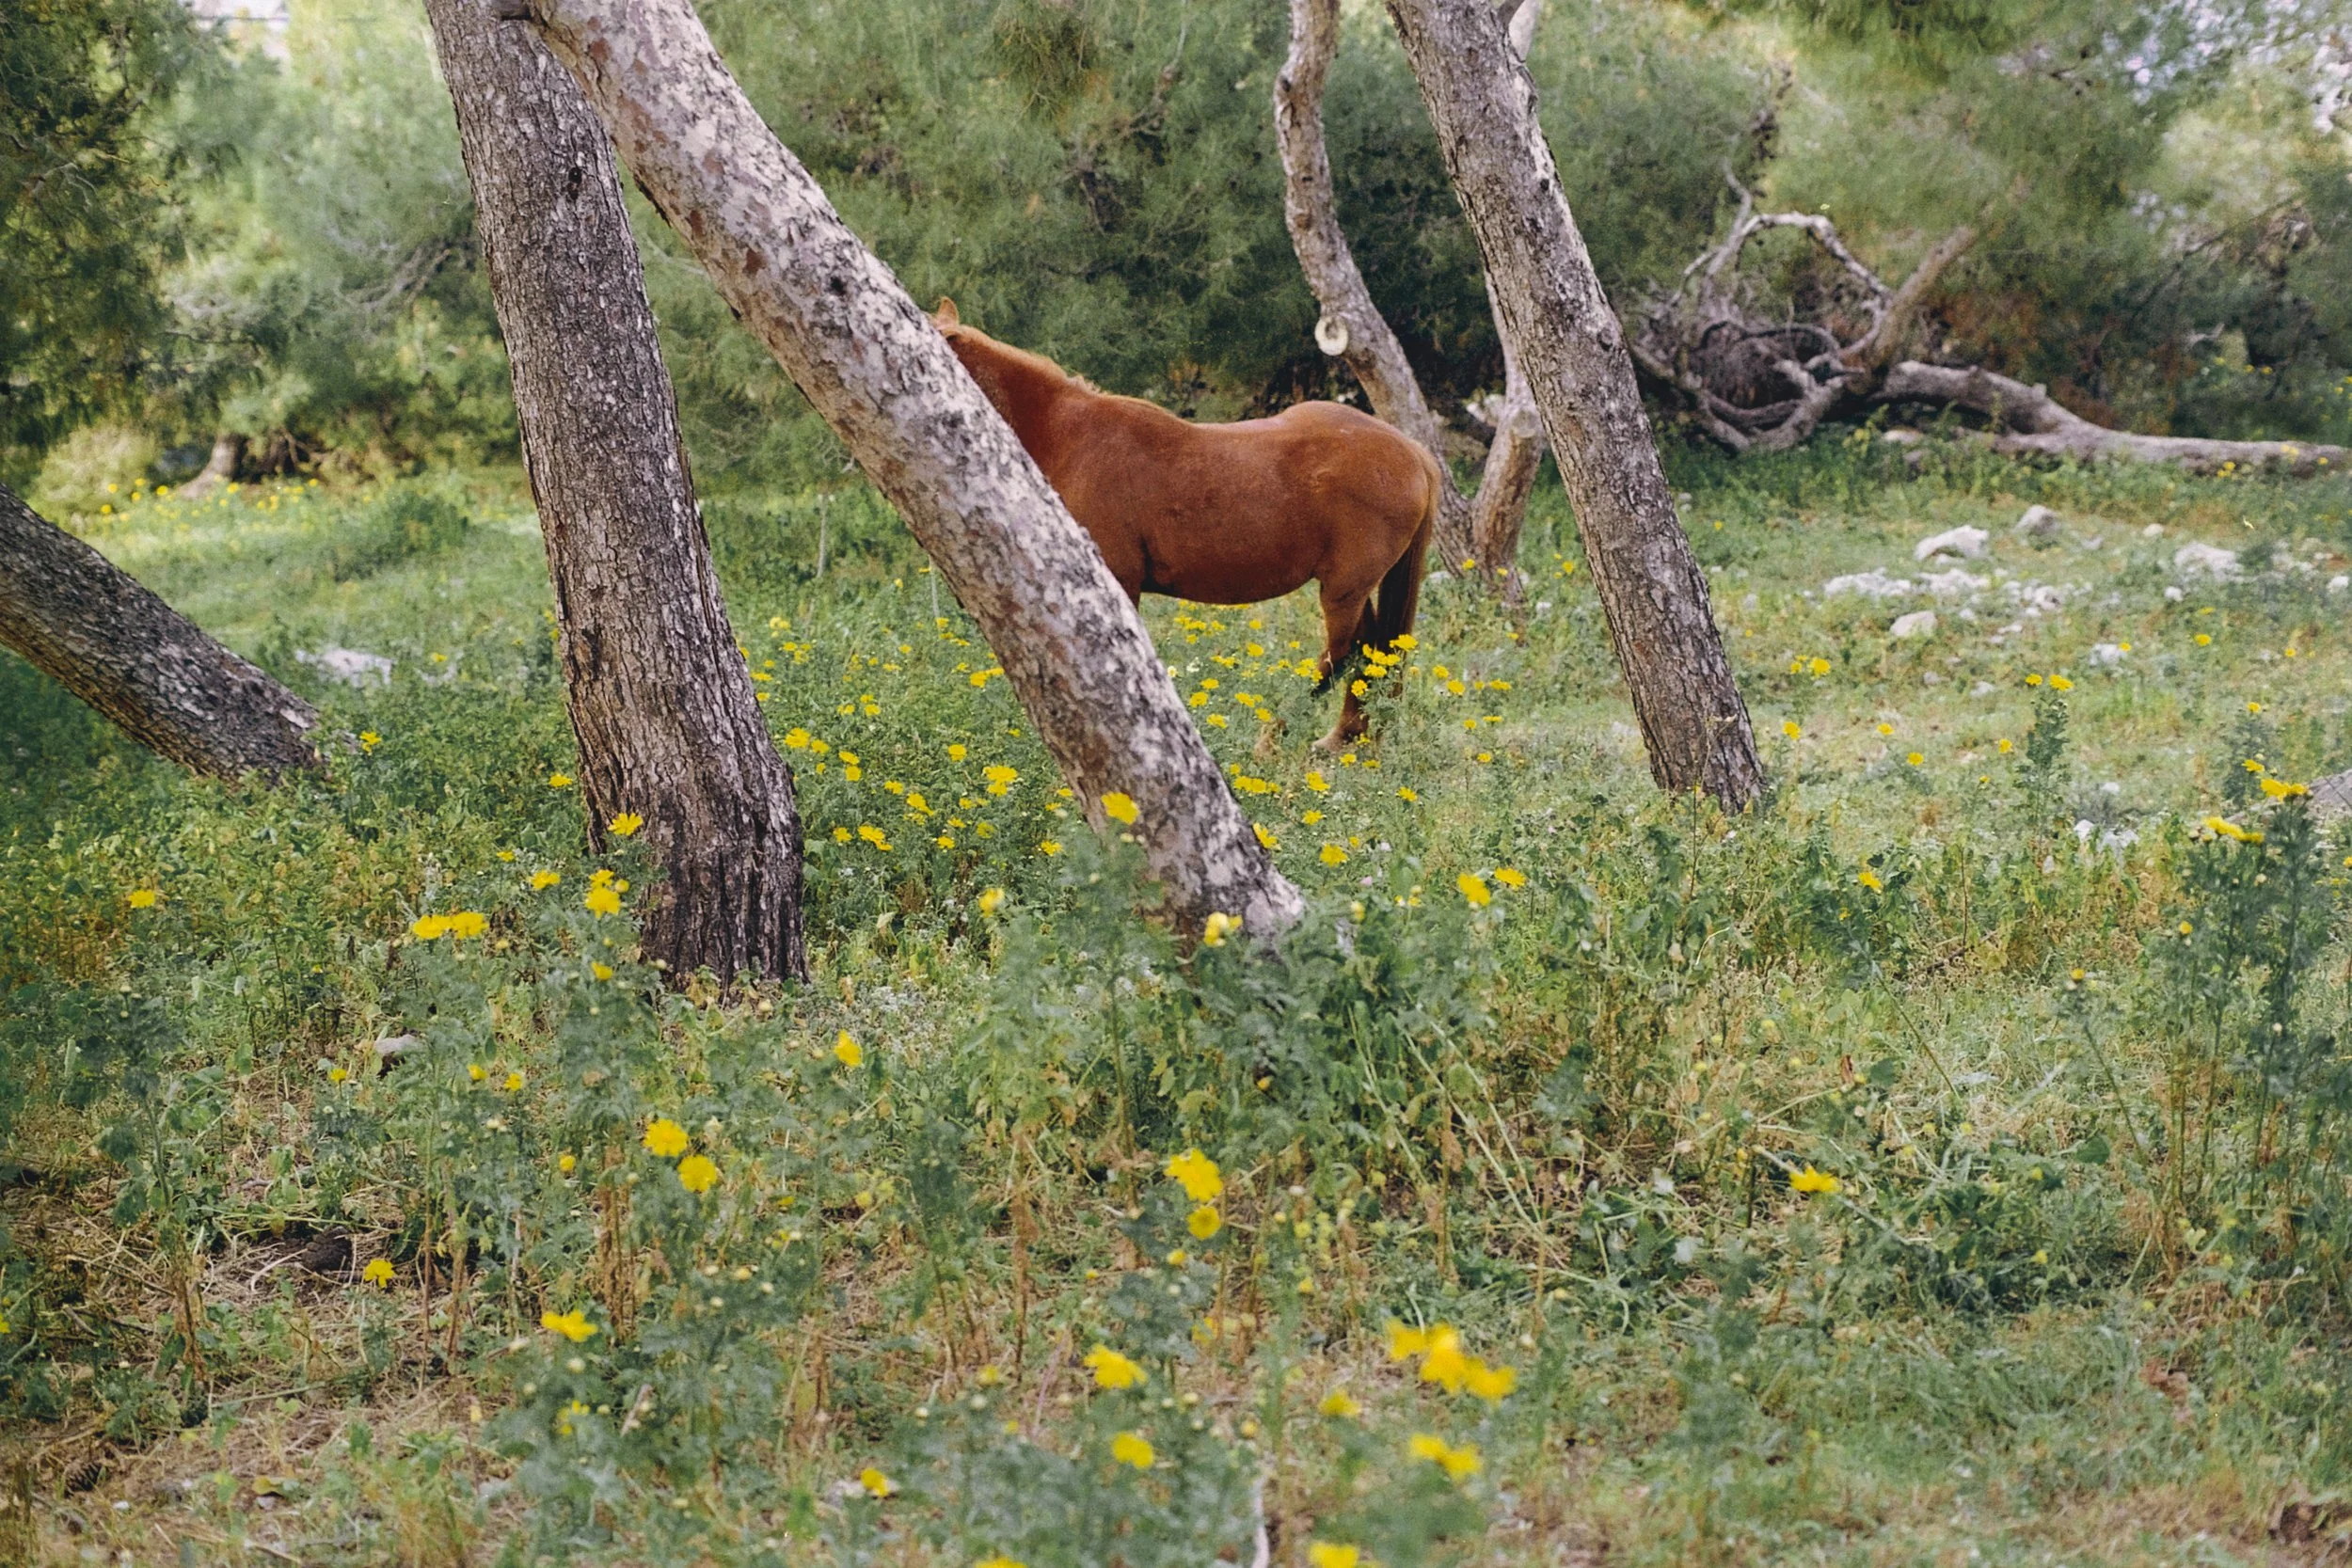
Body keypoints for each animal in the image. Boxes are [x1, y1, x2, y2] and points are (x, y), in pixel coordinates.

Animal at [932, 299, 1438, 750]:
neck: (1069, 439)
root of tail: (1411, 451)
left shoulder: (1117, 579)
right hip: (1354, 588)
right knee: (1370, 652)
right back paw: (1348, 738)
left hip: (1343, 589)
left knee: (1344, 653)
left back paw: (1282, 738)